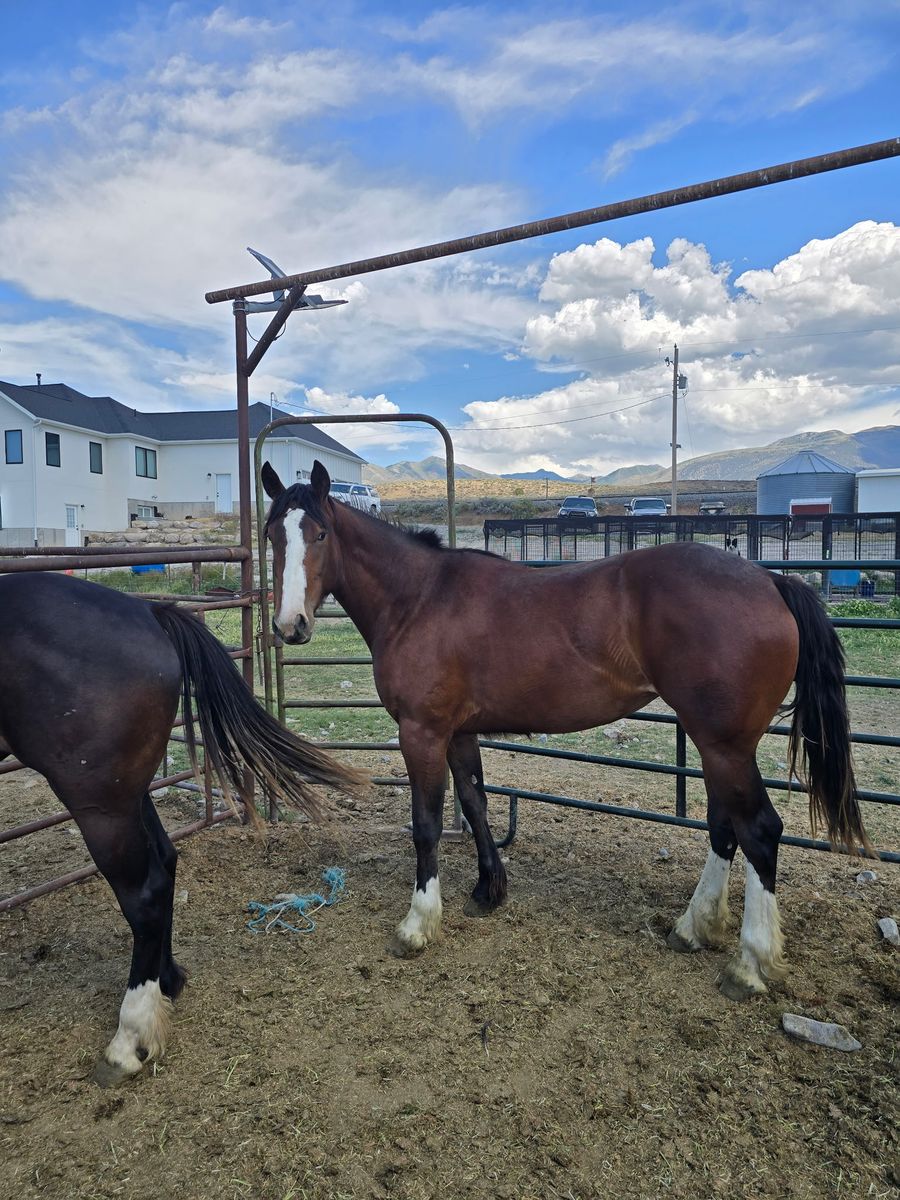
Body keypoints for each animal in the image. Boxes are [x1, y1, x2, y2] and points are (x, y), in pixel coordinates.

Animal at [0, 572, 365, 1085]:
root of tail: (147, 611)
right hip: (128, 792)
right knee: (165, 863)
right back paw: (167, 981)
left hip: (101, 801)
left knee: (145, 893)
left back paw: (130, 1037)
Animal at [262, 459, 873, 1001]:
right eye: (272, 535)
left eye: (319, 534)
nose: (291, 626)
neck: (418, 600)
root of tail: (768, 580)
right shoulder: (459, 733)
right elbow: (476, 802)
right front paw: (489, 889)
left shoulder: (422, 732)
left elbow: (428, 825)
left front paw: (418, 924)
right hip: (718, 745)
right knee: (726, 828)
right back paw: (693, 927)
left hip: (724, 745)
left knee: (759, 831)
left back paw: (750, 965)